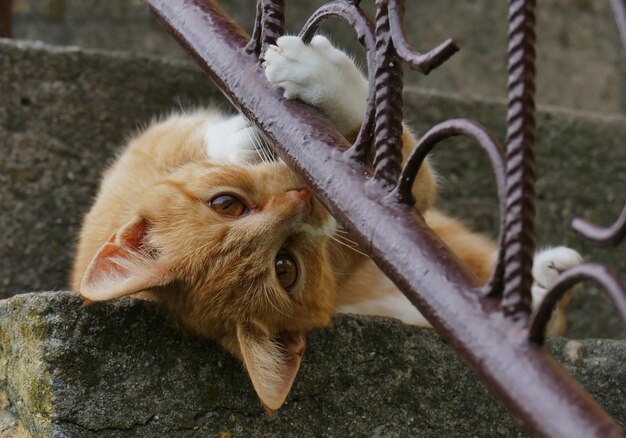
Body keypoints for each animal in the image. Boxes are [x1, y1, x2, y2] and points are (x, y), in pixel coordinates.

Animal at [70, 36, 576, 412]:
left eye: (226, 204)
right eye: (285, 267)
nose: (304, 197)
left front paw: (261, 121)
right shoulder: (400, 197)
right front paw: (316, 78)